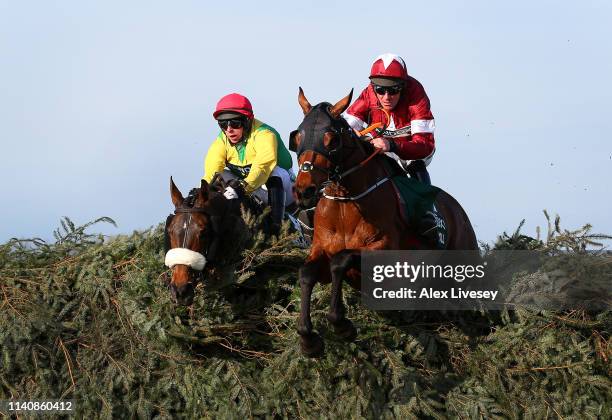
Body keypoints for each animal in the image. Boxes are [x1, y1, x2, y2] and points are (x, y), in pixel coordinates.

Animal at [292, 90, 478, 356]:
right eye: (298, 136)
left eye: (331, 140)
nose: (304, 190)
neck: (345, 203)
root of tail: (461, 214)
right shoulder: (320, 248)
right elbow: (307, 272)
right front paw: (308, 338)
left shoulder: (385, 250)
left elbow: (341, 260)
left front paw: (340, 323)